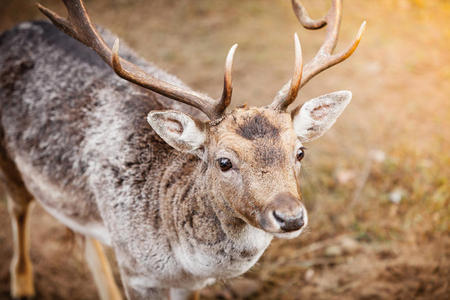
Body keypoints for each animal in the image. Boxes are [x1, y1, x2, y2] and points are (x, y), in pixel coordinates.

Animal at [0, 0, 364, 298]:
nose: (290, 217)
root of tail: (12, 30)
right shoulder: (135, 271)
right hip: (10, 164)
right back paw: (22, 287)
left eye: (300, 152)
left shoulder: (187, 285)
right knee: (19, 212)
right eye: (224, 162)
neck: (180, 261)